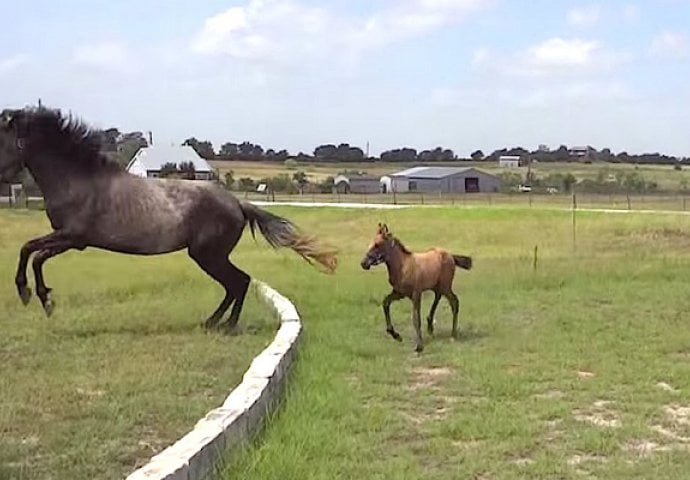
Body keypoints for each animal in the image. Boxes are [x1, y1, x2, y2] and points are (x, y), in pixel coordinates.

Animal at [0, 105, 336, 332]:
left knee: (238, 282)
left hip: (207, 255)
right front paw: (43, 298)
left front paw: (31, 294)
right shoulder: (70, 240)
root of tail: (238, 204)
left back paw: (224, 326)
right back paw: (212, 322)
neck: (79, 180)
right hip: (208, 256)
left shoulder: (72, 236)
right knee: (235, 284)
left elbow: (29, 250)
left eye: (1, 141)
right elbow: (35, 254)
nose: (1, 179)